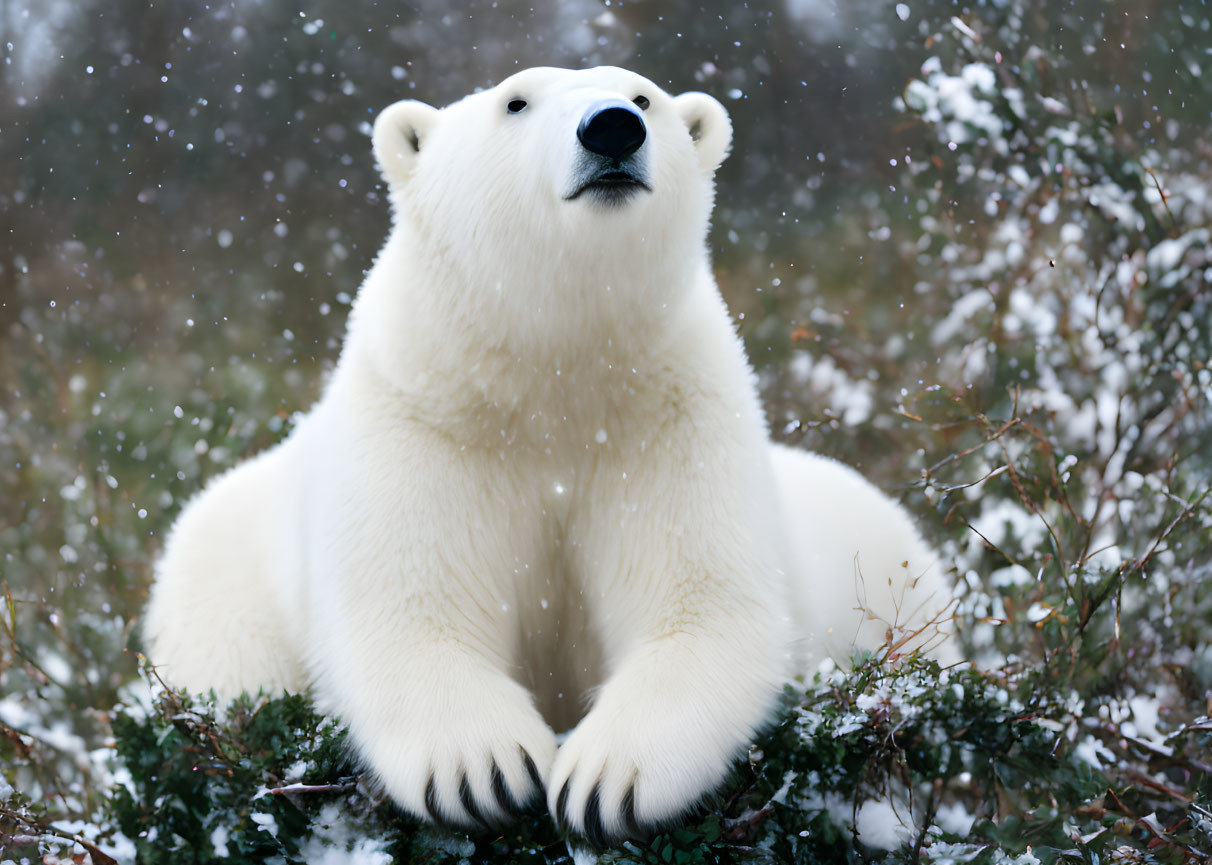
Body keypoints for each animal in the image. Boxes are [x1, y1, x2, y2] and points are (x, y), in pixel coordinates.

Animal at [141, 65, 955, 843]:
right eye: (516, 101)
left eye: (643, 96)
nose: (613, 128)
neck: (553, 380)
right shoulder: (422, 424)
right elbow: (408, 608)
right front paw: (486, 771)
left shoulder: (670, 424)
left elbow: (705, 605)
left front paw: (605, 785)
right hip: (217, 588)